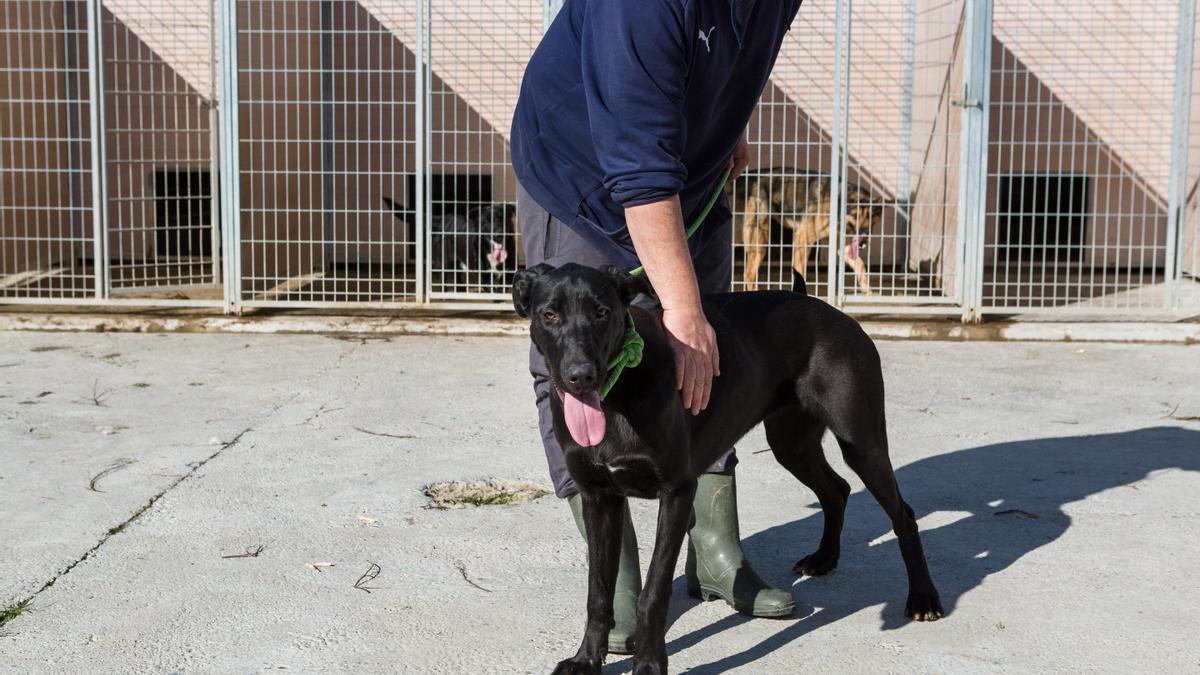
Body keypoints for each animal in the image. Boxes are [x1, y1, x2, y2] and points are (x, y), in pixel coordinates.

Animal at [511, 264, 940, 672]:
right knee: (837, 490)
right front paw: (586, 660)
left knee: (903, 514)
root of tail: (822, 305)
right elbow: (597, 592)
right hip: (792, 443)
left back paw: (923, 598)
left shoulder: (676, 491)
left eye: (601, 312)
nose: (580, 375)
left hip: (861, 442)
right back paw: (824, 559)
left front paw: (649, 664)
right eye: (550, 314)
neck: (619, 393)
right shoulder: (599, 497)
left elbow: (654, 592)